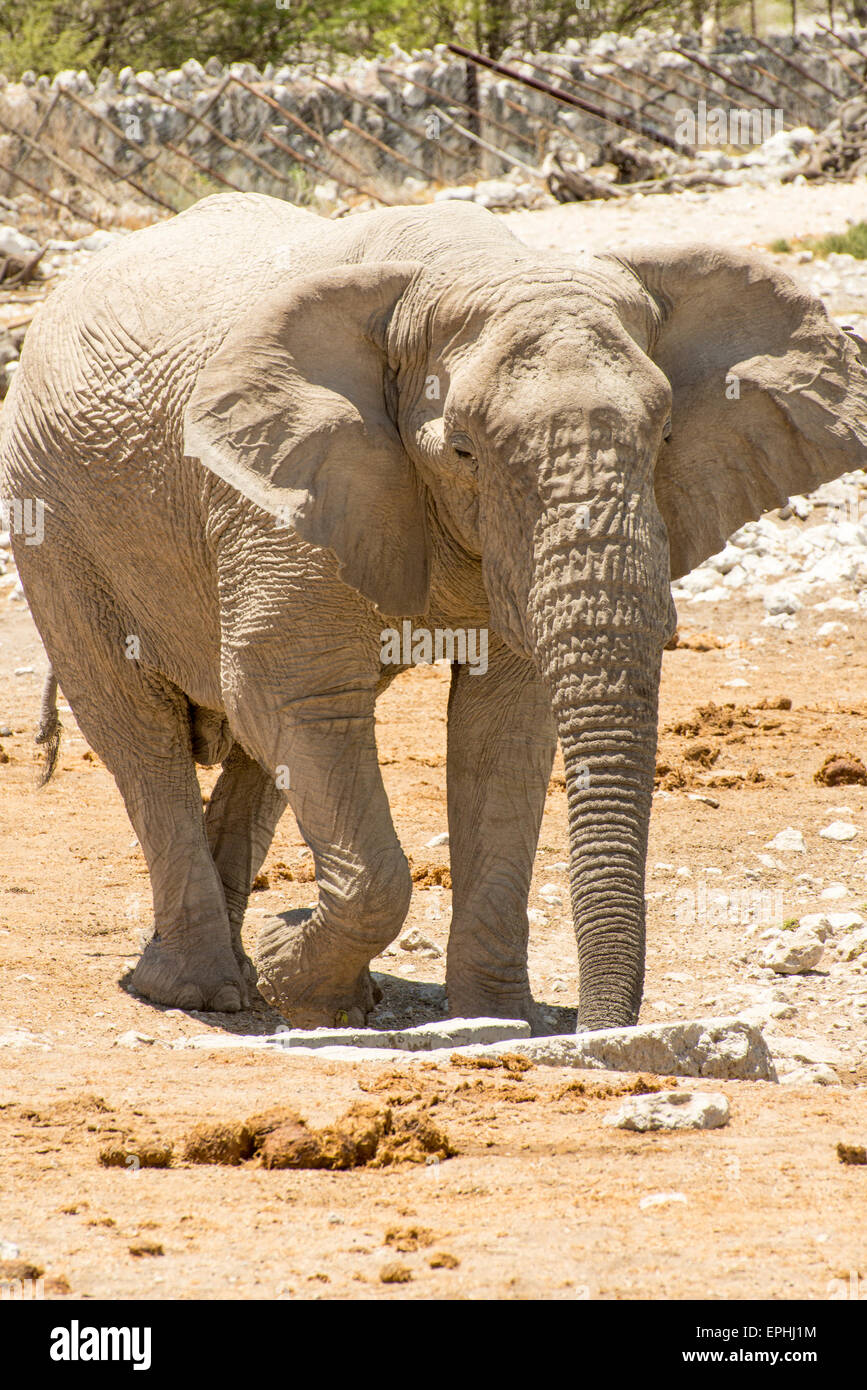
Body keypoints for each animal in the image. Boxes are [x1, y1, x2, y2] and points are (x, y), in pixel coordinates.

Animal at [1, 193, 867, 1034]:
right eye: (461, 452)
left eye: (661, 437)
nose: (602, 1034)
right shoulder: (274, 495)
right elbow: (297, 693)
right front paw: (295, 971)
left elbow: (503, 727)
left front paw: (496, 1019)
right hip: (52, 518)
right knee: (140, 728)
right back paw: (201, 992)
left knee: (254, 750)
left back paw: (262, 980)